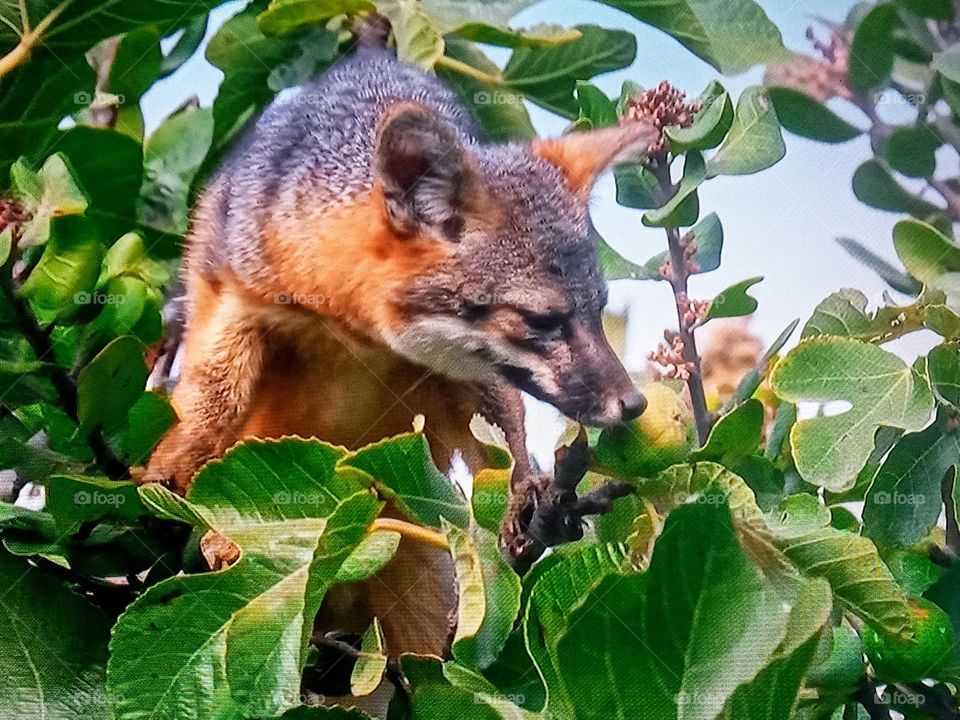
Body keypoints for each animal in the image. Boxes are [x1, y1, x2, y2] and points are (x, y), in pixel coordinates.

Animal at [143, 47, 656, 655]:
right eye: (542, 321)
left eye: (599, 311)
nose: (634, 404)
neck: (351, 330)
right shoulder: (236, 295)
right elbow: (213, 396)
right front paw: (170, 468)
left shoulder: (462, 379)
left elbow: (506, 426)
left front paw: (525, 491)